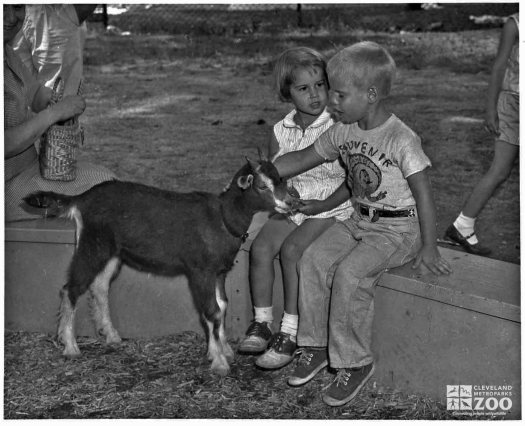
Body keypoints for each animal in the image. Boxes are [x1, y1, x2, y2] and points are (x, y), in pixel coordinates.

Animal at [24, 157, 296, 376]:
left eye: (279, 179)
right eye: (262, 185)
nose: (289, 203)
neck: (222, 218)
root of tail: (81, 199)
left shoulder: (219, 272)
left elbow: (222, 306)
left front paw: (222, 349)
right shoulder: (200, 271)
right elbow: (211, 312)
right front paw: (219, 362)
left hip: (112, 253)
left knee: (99, 287)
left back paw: (111, 336)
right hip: (92, 245)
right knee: (71, 288)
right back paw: (70, 347)